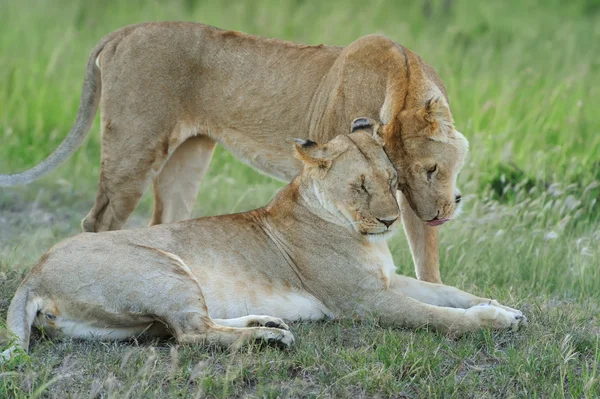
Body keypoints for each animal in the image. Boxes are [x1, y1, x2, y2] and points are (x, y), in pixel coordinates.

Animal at [0, 21, 462, 284]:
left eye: (421, 172)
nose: (434, 214)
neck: (403, 80)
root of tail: (124, 31)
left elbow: (427, 261)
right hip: (134, 148)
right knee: (99, 221)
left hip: (187, 156)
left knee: (165, 222)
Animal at [1, 121, 524, 360]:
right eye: (359, 186)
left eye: (393, 180)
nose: (391, 220)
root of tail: (32, 275)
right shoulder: (364, 301)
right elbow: (438, 316)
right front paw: (493, 322)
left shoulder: (388, 281)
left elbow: (448, 292)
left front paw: (503, 307)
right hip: (165, 268)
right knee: (190, 335)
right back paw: (269, 338)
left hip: (128, 323)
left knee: (183, 328)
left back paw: (266, 323)